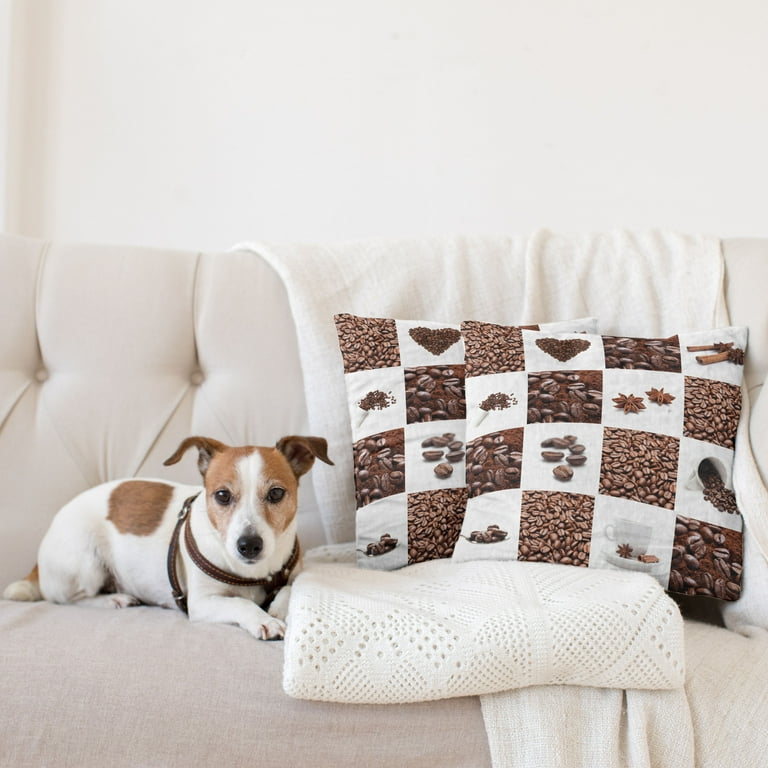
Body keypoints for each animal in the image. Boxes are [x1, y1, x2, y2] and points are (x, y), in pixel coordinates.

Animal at [3, 436, 332, 640]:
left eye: (276, 493)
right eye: (222, 496)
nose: (248, 545)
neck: (255, 574)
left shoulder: (291, 574)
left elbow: (290, 587)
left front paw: (278, 607)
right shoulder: (202, 603)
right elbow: (241, 604)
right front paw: (263, 619)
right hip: (86, 563)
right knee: (66, 599)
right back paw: (113, 599)